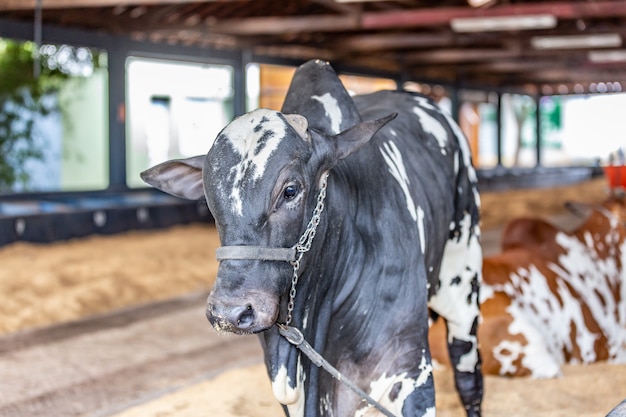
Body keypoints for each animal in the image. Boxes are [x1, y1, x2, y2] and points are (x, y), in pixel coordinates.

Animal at [143, 59, 482, 416]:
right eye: (209, 198)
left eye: (290, 190)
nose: (230, 313)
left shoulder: (407, 370)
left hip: (464, 281)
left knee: (468, 374)